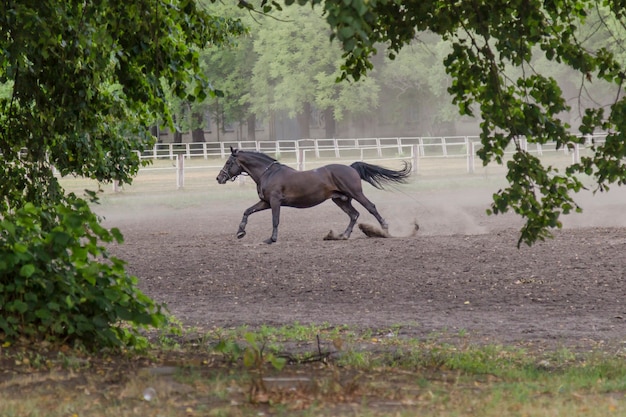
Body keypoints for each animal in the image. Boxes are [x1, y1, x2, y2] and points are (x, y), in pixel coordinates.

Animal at [214, 147, 410, 242]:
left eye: (229, 161)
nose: (219, 178)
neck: (268, 173)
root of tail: (351, 167)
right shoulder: (265, 202)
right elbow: (247, 211)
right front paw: (240, 232)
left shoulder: (275, 202)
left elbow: (275, 220)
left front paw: (271, 239)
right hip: (340, 200)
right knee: (354, 214)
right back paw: (343, 235)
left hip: (355, 194)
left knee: (370, 207)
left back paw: (385, 229)